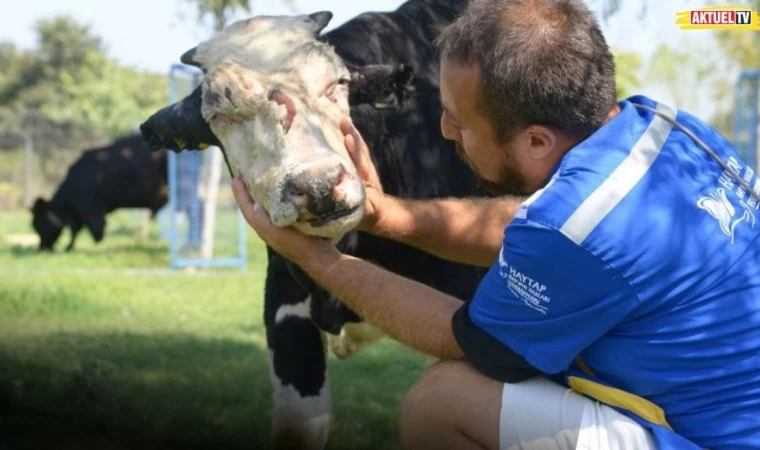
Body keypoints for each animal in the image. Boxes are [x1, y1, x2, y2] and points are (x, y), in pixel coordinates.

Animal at [31, 134, 168, 253]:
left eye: (38, 224)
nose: (42, 248)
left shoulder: (91, 209)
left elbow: (94, 230)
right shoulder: (79, 213)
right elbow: (75, 231)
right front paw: (69, 247)